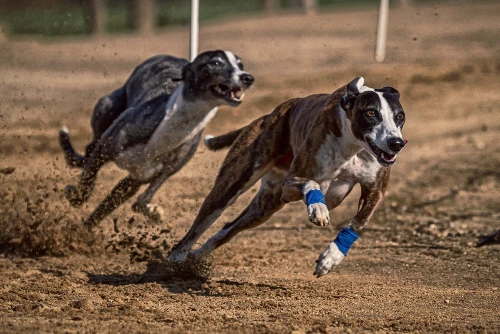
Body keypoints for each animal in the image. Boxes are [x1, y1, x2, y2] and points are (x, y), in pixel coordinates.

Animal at [59, 49, 254, 228]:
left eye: (240, 65)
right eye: (215, 62)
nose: (248, 78)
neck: (175, 123)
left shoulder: (140, 178)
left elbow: (123, 205)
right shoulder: (104, 150)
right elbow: (86, 185)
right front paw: (74, 196)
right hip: (106, 109)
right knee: (88, 152)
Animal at [168, 77, 406, 278]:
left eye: (400, 116)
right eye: (371, 113)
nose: (396, 143)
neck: (354, 145)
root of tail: (268, 116)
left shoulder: (375, 190)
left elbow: (358, 222)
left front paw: (331, 257)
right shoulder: (290, 183)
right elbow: (312, 183)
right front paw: (318, 209)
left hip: (265, 207)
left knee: (227, 229)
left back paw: (196, 258)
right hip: (233, 185)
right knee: (202, 222)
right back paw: (176, 258)